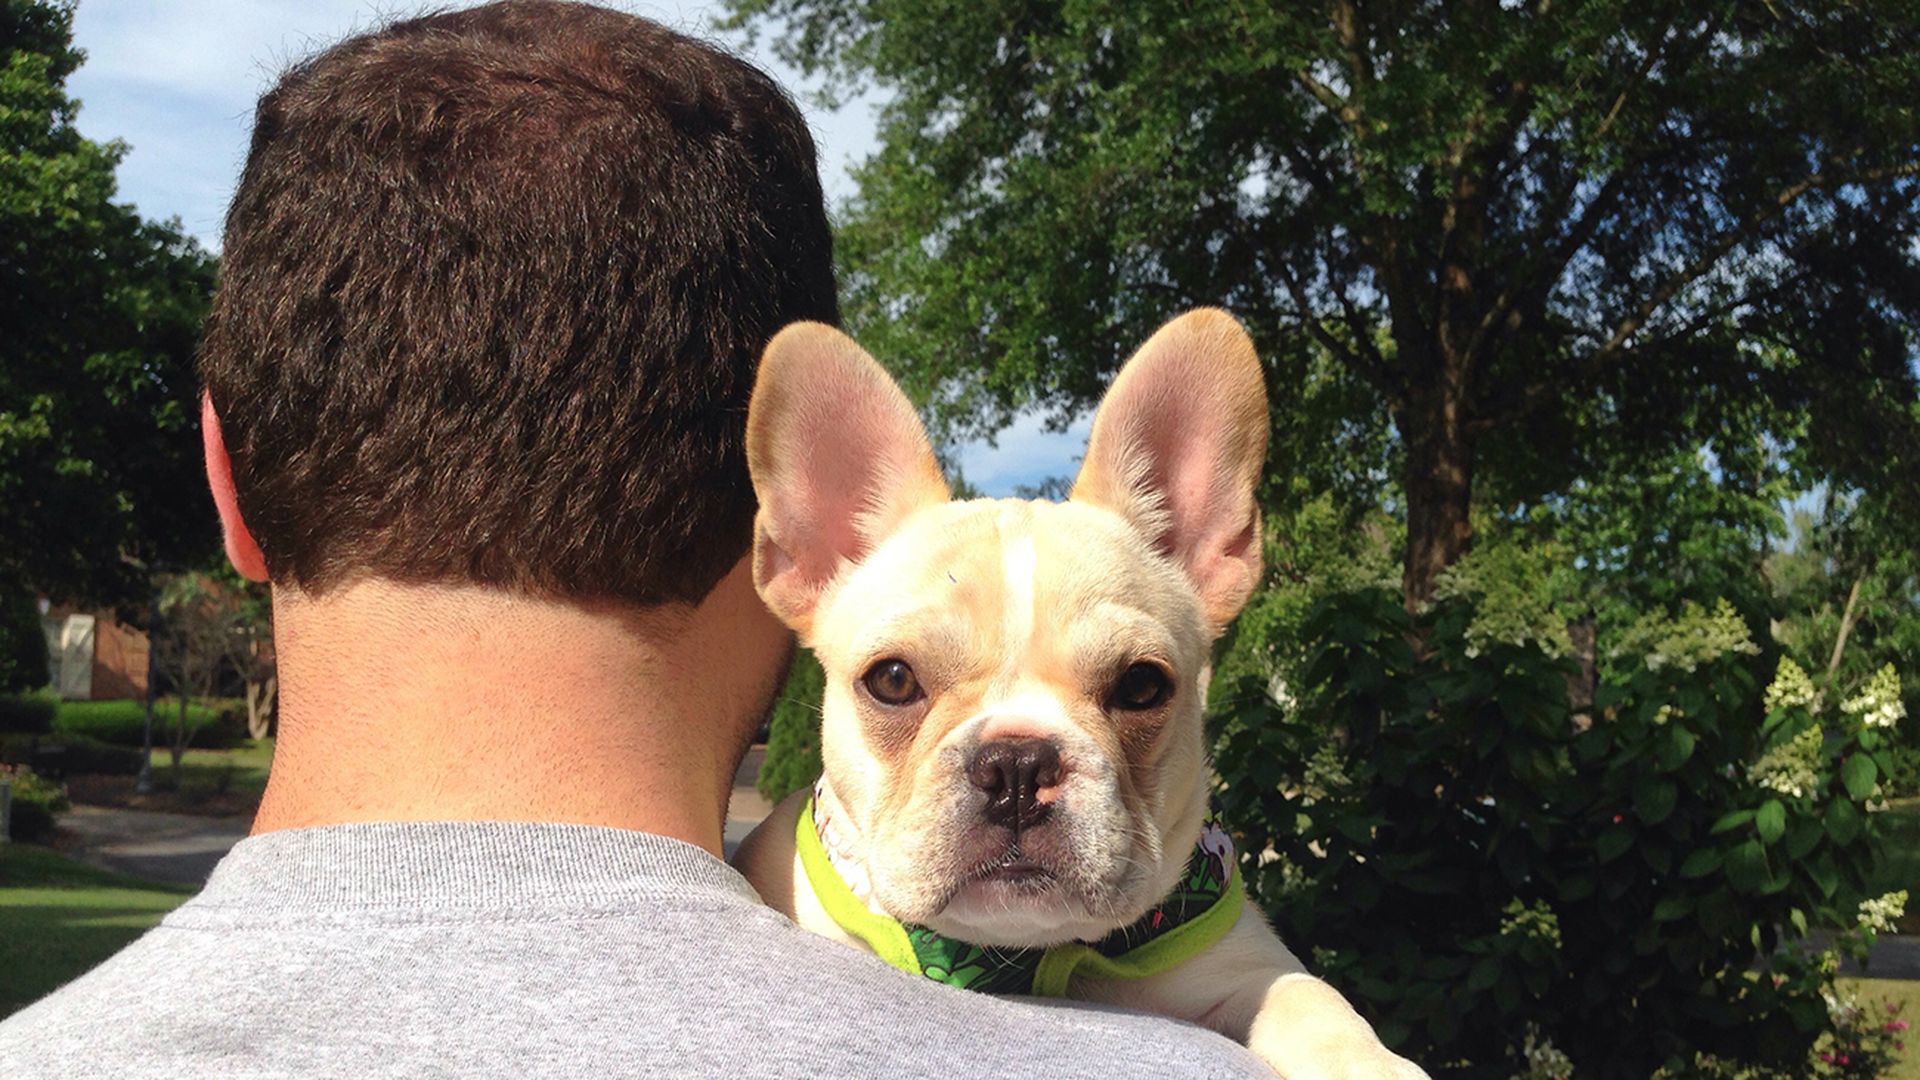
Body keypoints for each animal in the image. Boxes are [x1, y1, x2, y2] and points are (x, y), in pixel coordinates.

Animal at [733, 309, 1428, 1079]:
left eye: (1142, 685)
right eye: (892, 680)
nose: (1016, 763)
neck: (1016, 953)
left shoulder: (1244, 965)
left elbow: (1311, 998)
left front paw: (1371, 1064)